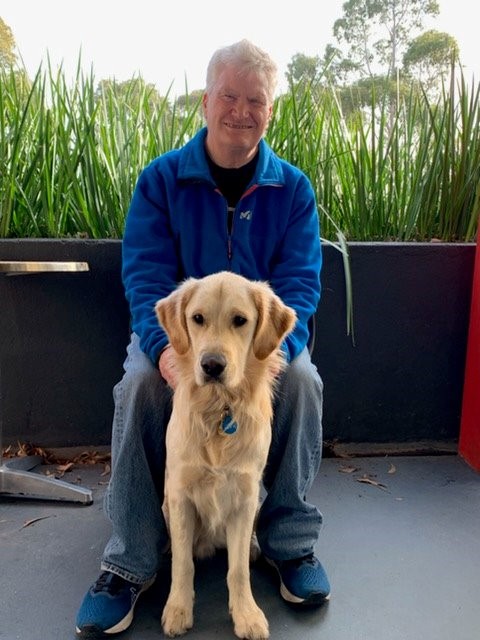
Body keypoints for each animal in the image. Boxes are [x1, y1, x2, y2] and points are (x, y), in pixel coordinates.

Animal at [154, 272, 296, 640]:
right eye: (197, 318)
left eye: (240, 321)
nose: (212, 365)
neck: (219, 410)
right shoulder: (180, 497)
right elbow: (183, 564)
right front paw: (178, 608)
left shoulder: (244, 498)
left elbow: (237, 571)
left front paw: (246, 614)